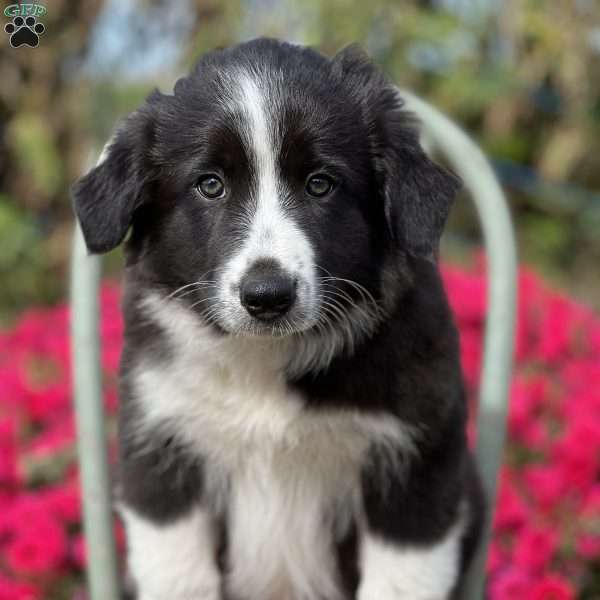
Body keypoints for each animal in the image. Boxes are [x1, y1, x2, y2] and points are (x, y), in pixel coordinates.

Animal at [72, 37, 486, 600]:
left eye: (320, 184)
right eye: (210, 185)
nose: (267, 296)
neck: (264, 360)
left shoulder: (419, 469)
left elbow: (400, 579)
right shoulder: (161, 454)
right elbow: (180, 574)